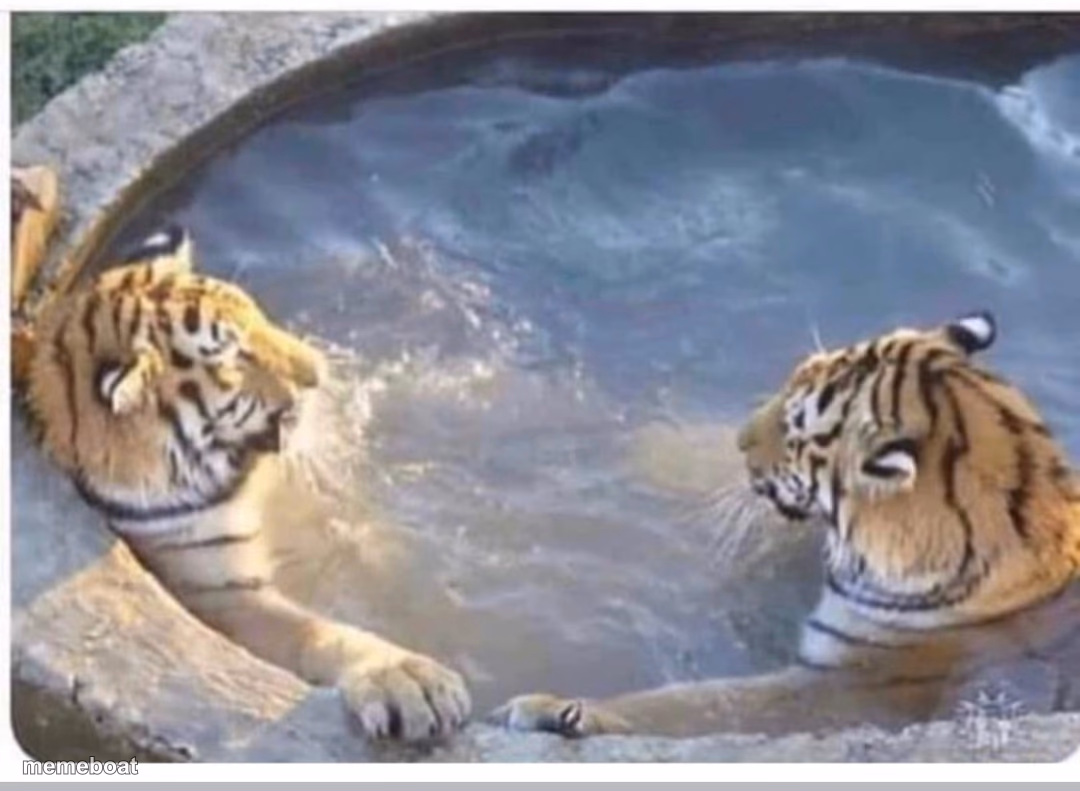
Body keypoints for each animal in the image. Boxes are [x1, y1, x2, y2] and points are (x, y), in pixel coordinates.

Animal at [19, 226, 471, 742]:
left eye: (256, 313)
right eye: (235, 358)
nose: (318, 372)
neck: (241, 469)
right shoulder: (225, 594)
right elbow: (317, 633)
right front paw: (406, 679)